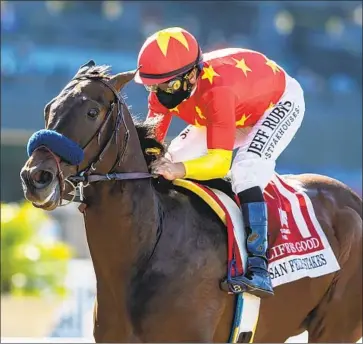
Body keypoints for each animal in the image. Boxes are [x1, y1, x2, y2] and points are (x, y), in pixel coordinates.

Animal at [20, 61, 363, 342]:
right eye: (48, 109)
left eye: (91, 112)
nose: (36, 177)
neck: (150, 247)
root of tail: (352, 198)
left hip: (336, 327)